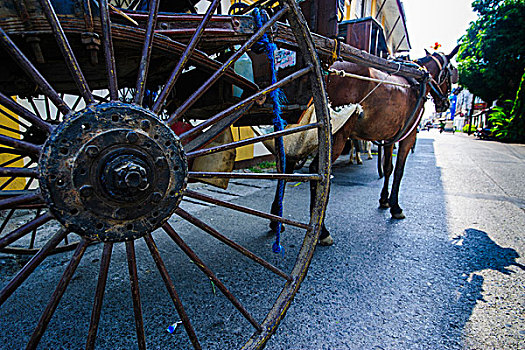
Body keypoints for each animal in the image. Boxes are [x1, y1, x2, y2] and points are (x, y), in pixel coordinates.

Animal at [272, 46, 456, 245]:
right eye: (450, 72)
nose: (445, 103)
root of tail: (327, 67)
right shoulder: (409, 135)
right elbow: (399, 171)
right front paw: (395, 207)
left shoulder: (389, 137)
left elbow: (388, 168)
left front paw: (384, 200)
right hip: (337, 131)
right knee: (316, 170)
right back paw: (322, 231)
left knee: (286, 166)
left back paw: (276, 220)